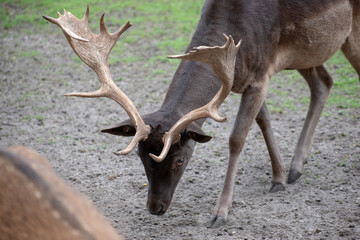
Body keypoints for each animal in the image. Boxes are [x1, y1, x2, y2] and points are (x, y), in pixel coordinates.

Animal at [43, 0, 360, 228]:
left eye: (180, 159)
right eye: (141, 156)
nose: (155, 208)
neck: (237, 37)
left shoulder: (260, 76)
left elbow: (237, 138)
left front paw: (220, 213)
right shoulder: (244, 80)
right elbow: (263, 120)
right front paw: (280, 178)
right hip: (311, 49)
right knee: (324, 83)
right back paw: (297, 165)